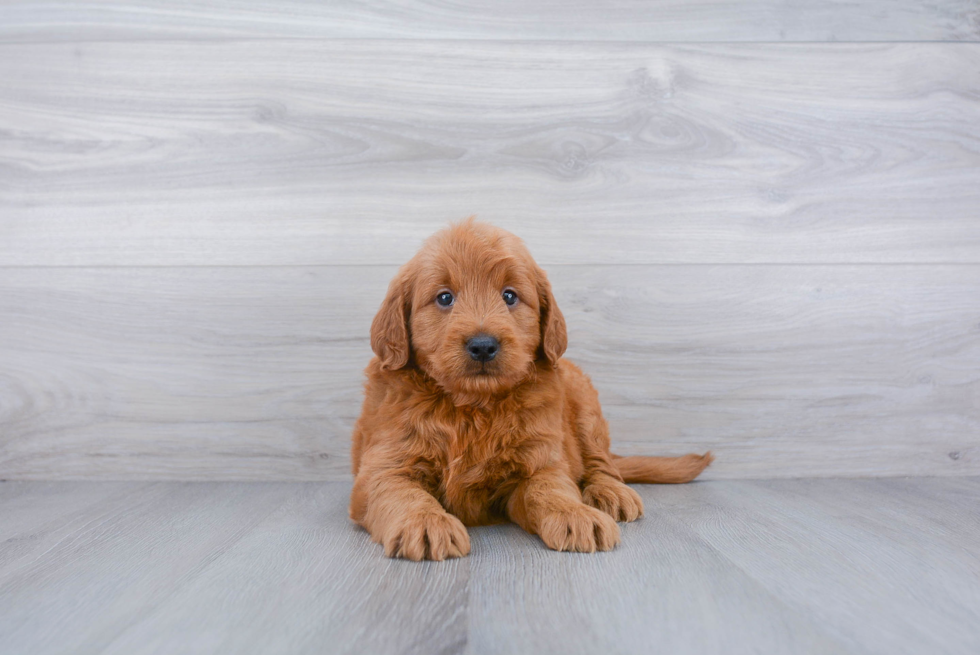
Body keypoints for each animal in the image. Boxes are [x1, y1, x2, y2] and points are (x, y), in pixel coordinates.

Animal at [352, 219, 712, 560]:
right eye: (444, 297)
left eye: (510, 296)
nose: (483, 346)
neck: (472, 407)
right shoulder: (386, 465)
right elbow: (402, 494)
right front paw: (426, 523)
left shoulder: (540, 460)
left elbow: (550, 489)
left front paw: (576, 514)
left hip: (586, 405)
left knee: (602, 463)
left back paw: (611, 493)